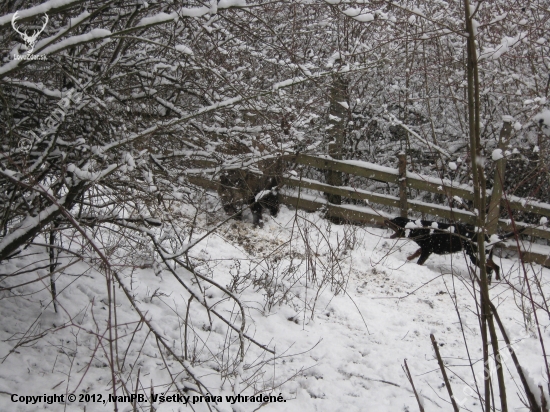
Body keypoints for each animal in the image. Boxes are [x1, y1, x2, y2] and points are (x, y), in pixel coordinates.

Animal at [384, 216, 520, 280]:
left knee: (489, 269)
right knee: (495, 267)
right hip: (484, 255)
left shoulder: (427, 250)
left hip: (474, 255)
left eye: (395, 221)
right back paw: (496, 279)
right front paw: (409, 258)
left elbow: (419, 261)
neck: (419, 228)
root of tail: (490, 236)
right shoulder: (425, 249)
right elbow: (416, 253)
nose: (385, 220)